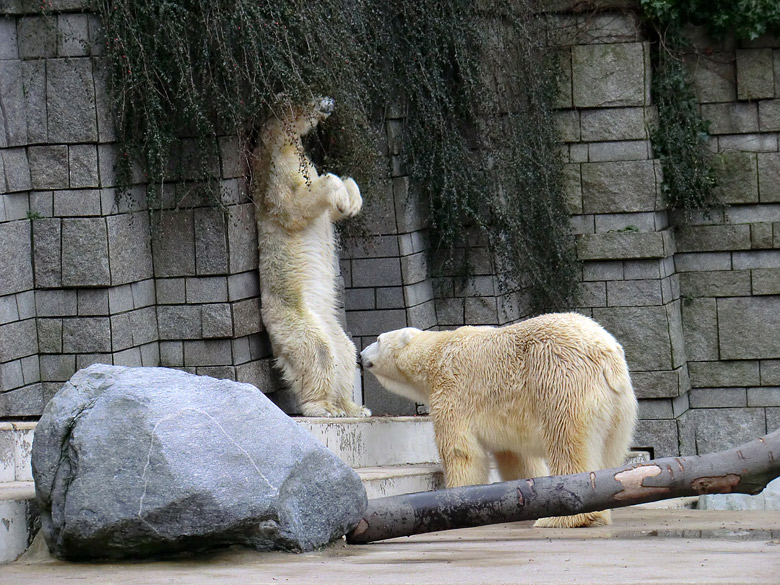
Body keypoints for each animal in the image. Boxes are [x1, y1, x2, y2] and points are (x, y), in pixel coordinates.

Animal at [253, 97, 368, 416]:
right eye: (304, 98)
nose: (329, 100)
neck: (280, 142)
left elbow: (331, 210)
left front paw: (351, 199)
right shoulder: (276, 172)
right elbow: (294, 204)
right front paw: (338, 190)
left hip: (330, 324)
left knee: (345, 351)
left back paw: (351, 407)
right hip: (292, 318)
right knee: (318, 351)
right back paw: (323, 407)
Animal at [362, 312, 636, 528]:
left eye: (377, 339)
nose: (361, 355)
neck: (436, 353)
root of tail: (607, 357)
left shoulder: (453, 391)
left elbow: (460, 451)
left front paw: (457, 499)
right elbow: (516, 457)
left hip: (560, 381)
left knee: (567, 442)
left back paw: (562, 518)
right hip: (620, 408)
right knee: (609, 452)